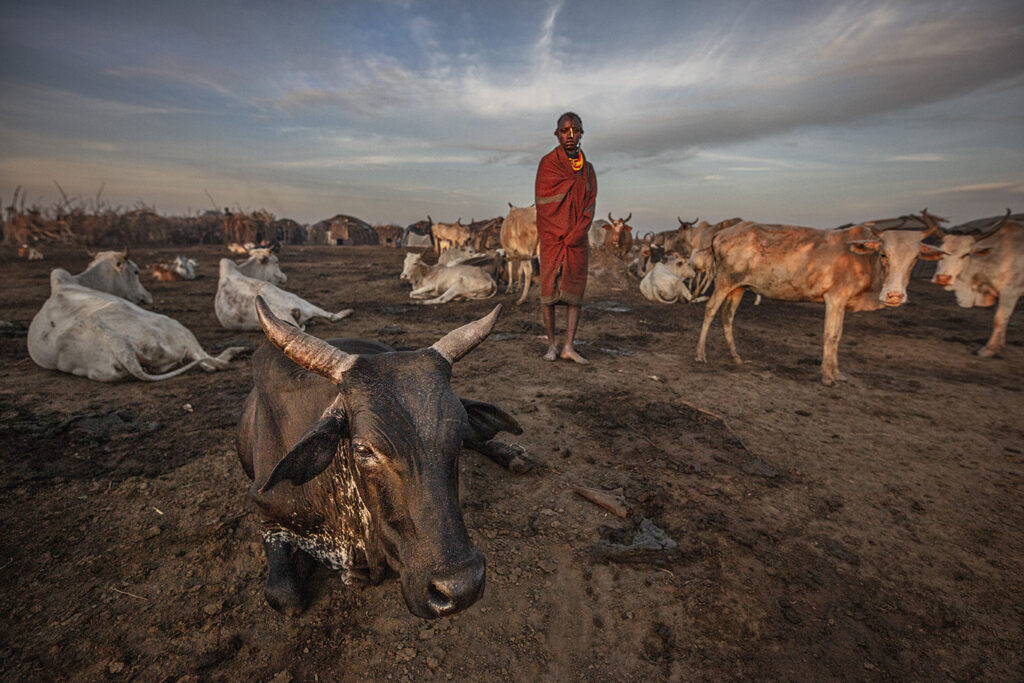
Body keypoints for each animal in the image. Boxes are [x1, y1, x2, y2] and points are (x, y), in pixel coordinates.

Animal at [27, 268, 243, 385]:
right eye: (135, 273)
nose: (147, 296)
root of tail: (117, 343)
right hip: (179, 330)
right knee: (209, 362)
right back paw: (235, 351)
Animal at [236, 299, 532, 618]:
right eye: (364, 449)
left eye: (459, 434)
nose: (461, 588)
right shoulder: (267, 517)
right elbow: (285, 596)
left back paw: (513, 454)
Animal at [696, 214, 942, 385]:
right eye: (884, 254)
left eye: (914, 259)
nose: (894, 295)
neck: (864, 261)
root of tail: (723, 232)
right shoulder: (834, 298)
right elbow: (829, 335)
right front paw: (826, 376)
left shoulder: (842, 303)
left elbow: (838, 336)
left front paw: (837, 373)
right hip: (724, 281)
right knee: (710, 309)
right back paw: (700, 354)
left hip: (739, 287)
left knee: (727, 316)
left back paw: (735, 357)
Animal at [933, 209, 1019, 358]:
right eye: (941, 252)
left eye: (966, 254)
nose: (943, 278)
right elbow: (1004, 319)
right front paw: (999, 345)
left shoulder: (1010, 292)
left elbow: (999, 319)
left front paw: (989, 349)